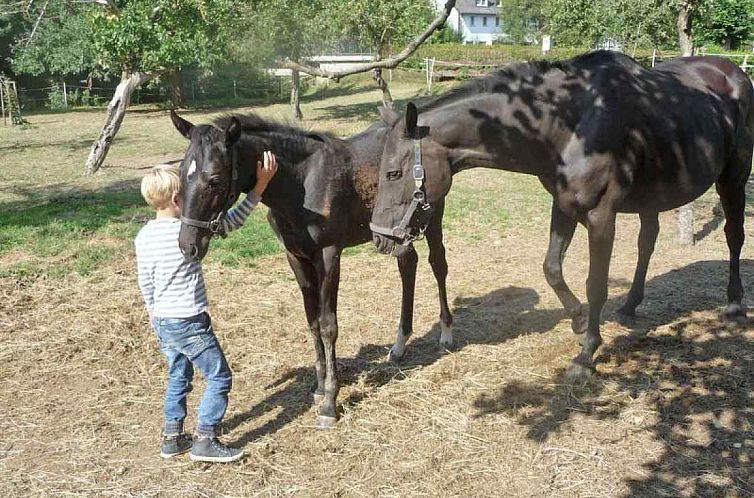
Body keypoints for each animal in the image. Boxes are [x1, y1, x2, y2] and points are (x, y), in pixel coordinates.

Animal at [169, 111, 452, 426]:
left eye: (215, 179)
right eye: (180, 173)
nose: (188, 245)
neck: (301, 183)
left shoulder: (328, 255)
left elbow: (329, 326)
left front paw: (330, 402)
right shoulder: (296, 258)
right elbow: (313, 321)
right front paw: (319, 387)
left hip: (430, 216)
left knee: (438, 263)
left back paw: (446, 333)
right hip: (398, 232)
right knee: (408, 264)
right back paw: (399, 345)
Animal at [370, 50, 752, 380]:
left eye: (392, 173)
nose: (380, 238)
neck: (568, 123)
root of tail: (733, 72)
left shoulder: (601, 217)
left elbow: (595, 284)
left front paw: (586, 354)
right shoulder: (564, 207)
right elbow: (552, 269)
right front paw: (579, 320)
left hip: (733, 179)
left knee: (734, 236)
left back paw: (734, 304)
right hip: (651, 197)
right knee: (647, 242)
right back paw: (630, 305)